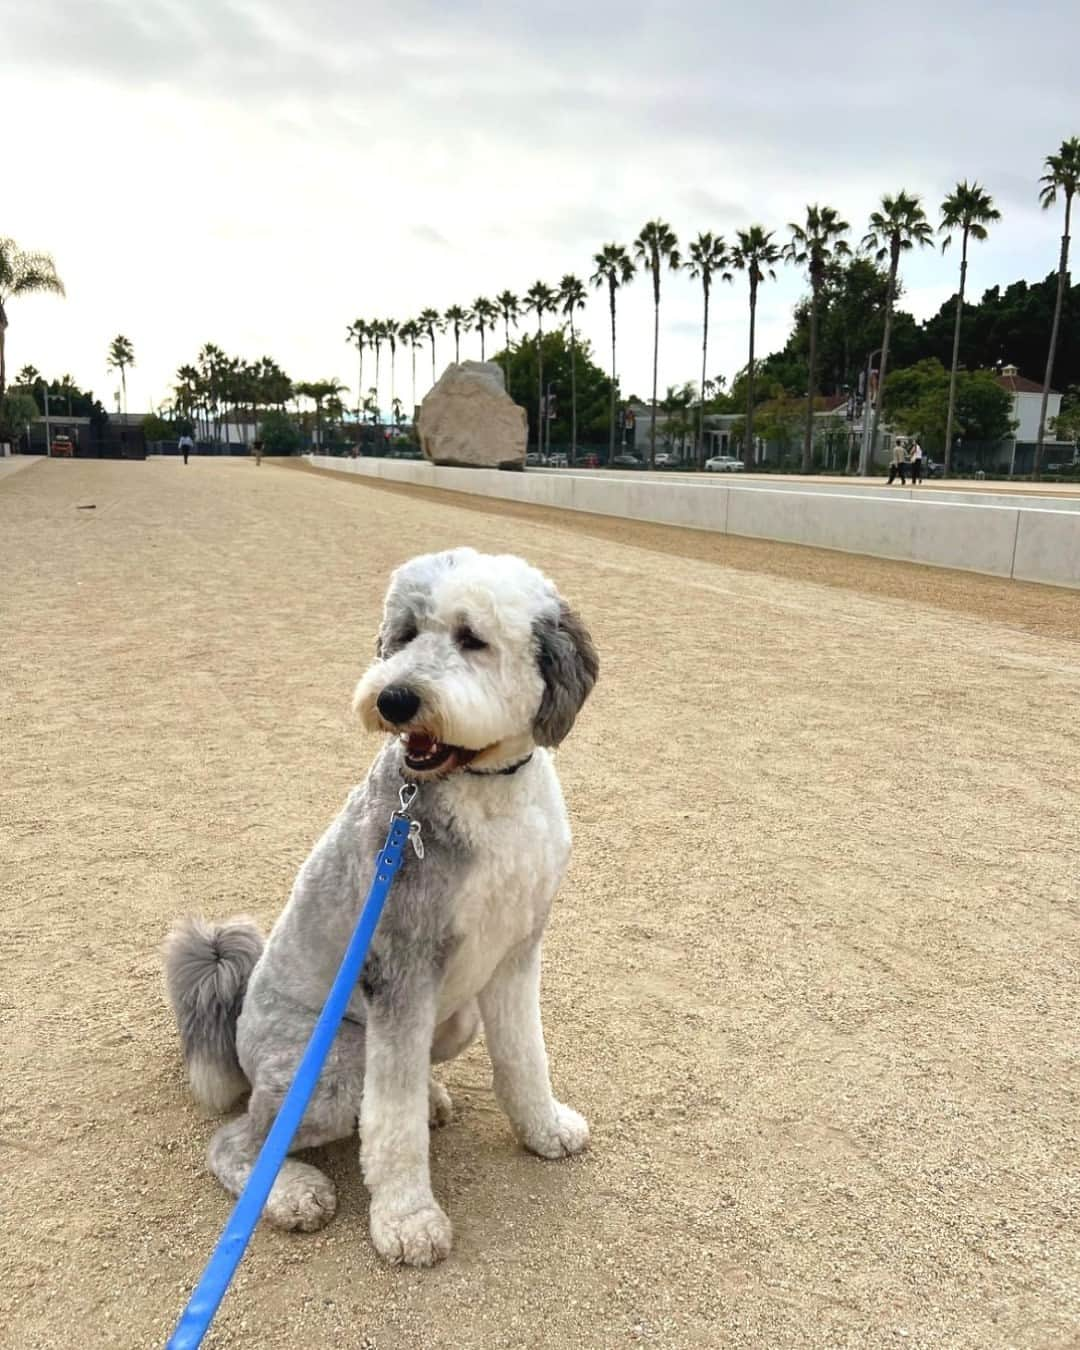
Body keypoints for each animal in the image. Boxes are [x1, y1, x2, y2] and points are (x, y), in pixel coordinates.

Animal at [166, 542, 599, 1258]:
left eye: (472, 638)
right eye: (404, 635)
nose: (394, 699)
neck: (484, 788)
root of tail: (239, 1028)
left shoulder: (515, 951)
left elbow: (523, 1056)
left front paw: (545, 1129)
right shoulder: (402, 966)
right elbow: (389, 1119)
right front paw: (407, 1220)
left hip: (455, 1018)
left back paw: (433, 1096)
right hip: (335, 1066)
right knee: (241, 1141)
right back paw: (292, 1192)